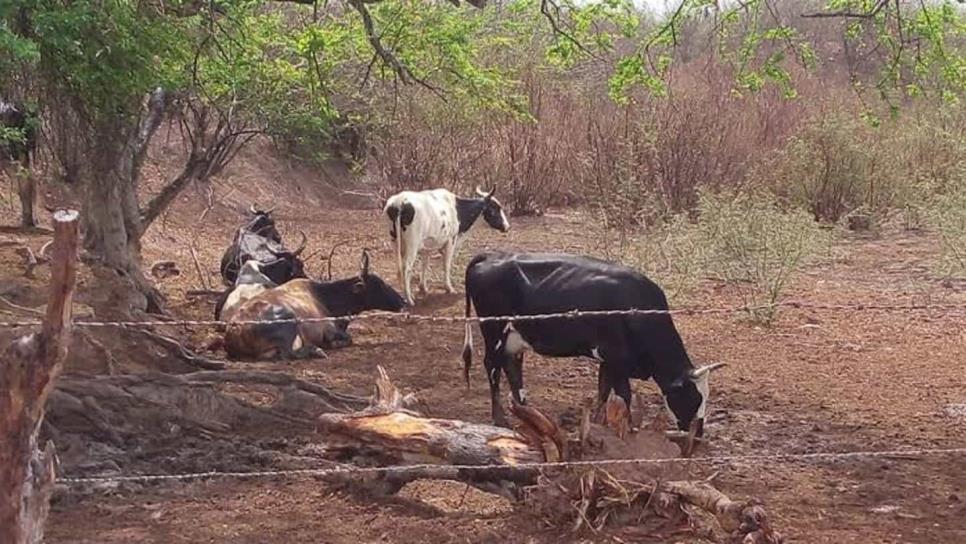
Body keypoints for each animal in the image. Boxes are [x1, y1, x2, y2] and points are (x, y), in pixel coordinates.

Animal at [222, 251, 404, 362]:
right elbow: (348, 339)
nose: (403, 302)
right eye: (379, 284)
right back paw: (316, 350)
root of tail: (234, 329)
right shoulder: (329, 330)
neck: (325, 297)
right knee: (288, 354)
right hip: (290, 321)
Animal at [462, 250, 728, 434]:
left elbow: (603, 390)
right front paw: (627, 429)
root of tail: (492, 255)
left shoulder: (609, 360)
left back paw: (527, 414)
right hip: (493, 330)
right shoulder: (617, 357)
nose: (699, 433)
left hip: (515, 337)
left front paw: (601, 423)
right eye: (693, 397)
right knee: (492, 368)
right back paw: (500, 419)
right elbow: (623, 394)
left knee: (512, 370)